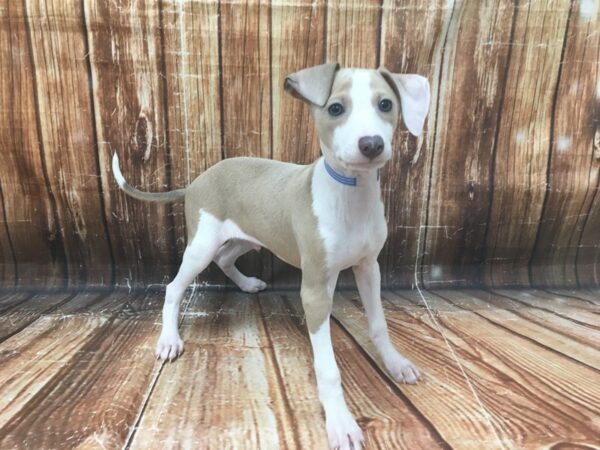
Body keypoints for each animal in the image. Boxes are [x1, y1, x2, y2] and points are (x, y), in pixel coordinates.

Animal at [112, 64, 428, 450]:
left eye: (385, 104)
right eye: (336, 108)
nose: (371, 144)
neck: (351, 192)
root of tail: (196, 181)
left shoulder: (369, 268)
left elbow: (379, 323)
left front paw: (395, 363)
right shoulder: (315, 289)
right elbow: (327, 366)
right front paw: (340, 421)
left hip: (247, 236)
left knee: (226, 258)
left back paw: (247, 284)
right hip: (201, 244)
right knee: (175, 287)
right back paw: (169, 339)